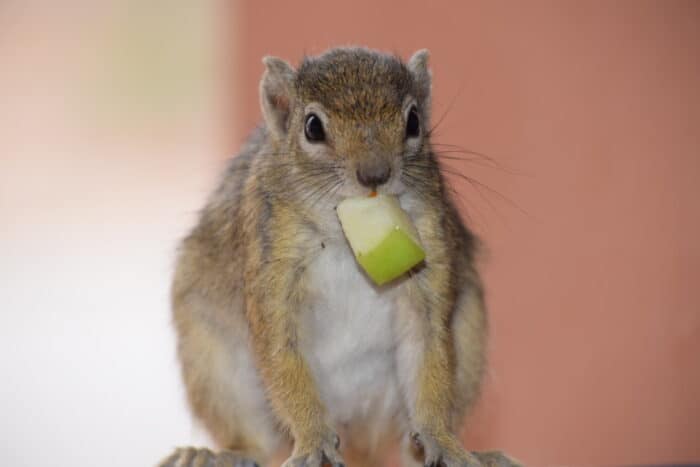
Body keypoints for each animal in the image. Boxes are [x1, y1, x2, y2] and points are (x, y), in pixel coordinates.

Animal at [159, 47, 519, 467]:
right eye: (313, 127)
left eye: (414, 120)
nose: (375, 174)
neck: (345, 234)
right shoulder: (271, 263)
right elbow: (283, 356)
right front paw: (313, 442)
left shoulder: (430, 254)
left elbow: (429, 355)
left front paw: (442, 440)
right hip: (215, 368)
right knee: (254, 440)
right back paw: (216, 454)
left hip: (468, 344)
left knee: (407, 446)